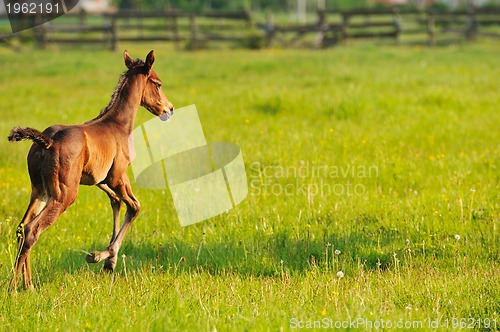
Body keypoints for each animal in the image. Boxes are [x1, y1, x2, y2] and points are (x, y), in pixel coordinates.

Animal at [4, 50, 174, 292]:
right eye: (158, 84)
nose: (170, 109)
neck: (118, 124)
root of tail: (47, 142)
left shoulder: (100, 180)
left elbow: (116, 202)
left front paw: (108, 261)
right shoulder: (117, 177)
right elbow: (134, 206)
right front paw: (103, 257)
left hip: (40, 191)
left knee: (21, 227)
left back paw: (28, 285)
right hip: (64, 195)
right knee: (31, 230)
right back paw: (14, 288)